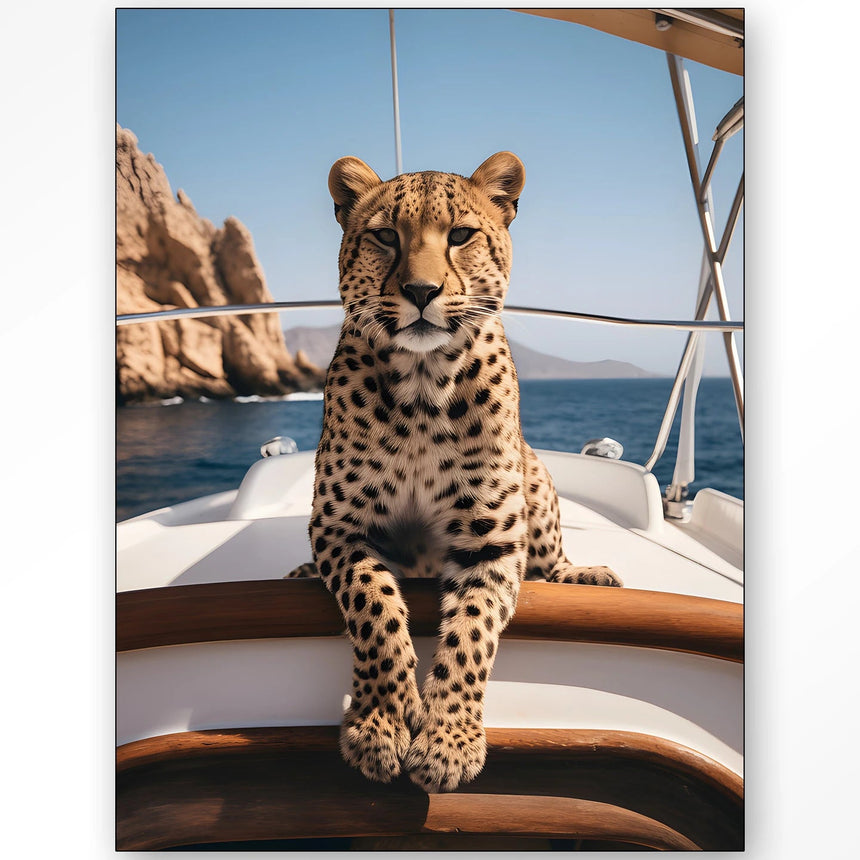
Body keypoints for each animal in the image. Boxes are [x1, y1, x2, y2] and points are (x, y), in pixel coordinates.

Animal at [287, 151, 621, 793]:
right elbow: (375, 607)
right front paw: (382, 723)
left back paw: (583, 576)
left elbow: (470, 634)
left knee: (550, 561)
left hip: (537, 477)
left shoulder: (491, 540)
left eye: (461, 235)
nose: (421, 291)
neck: (422, 386)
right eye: (386, 236)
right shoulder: (339, 526)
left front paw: (448, 742)